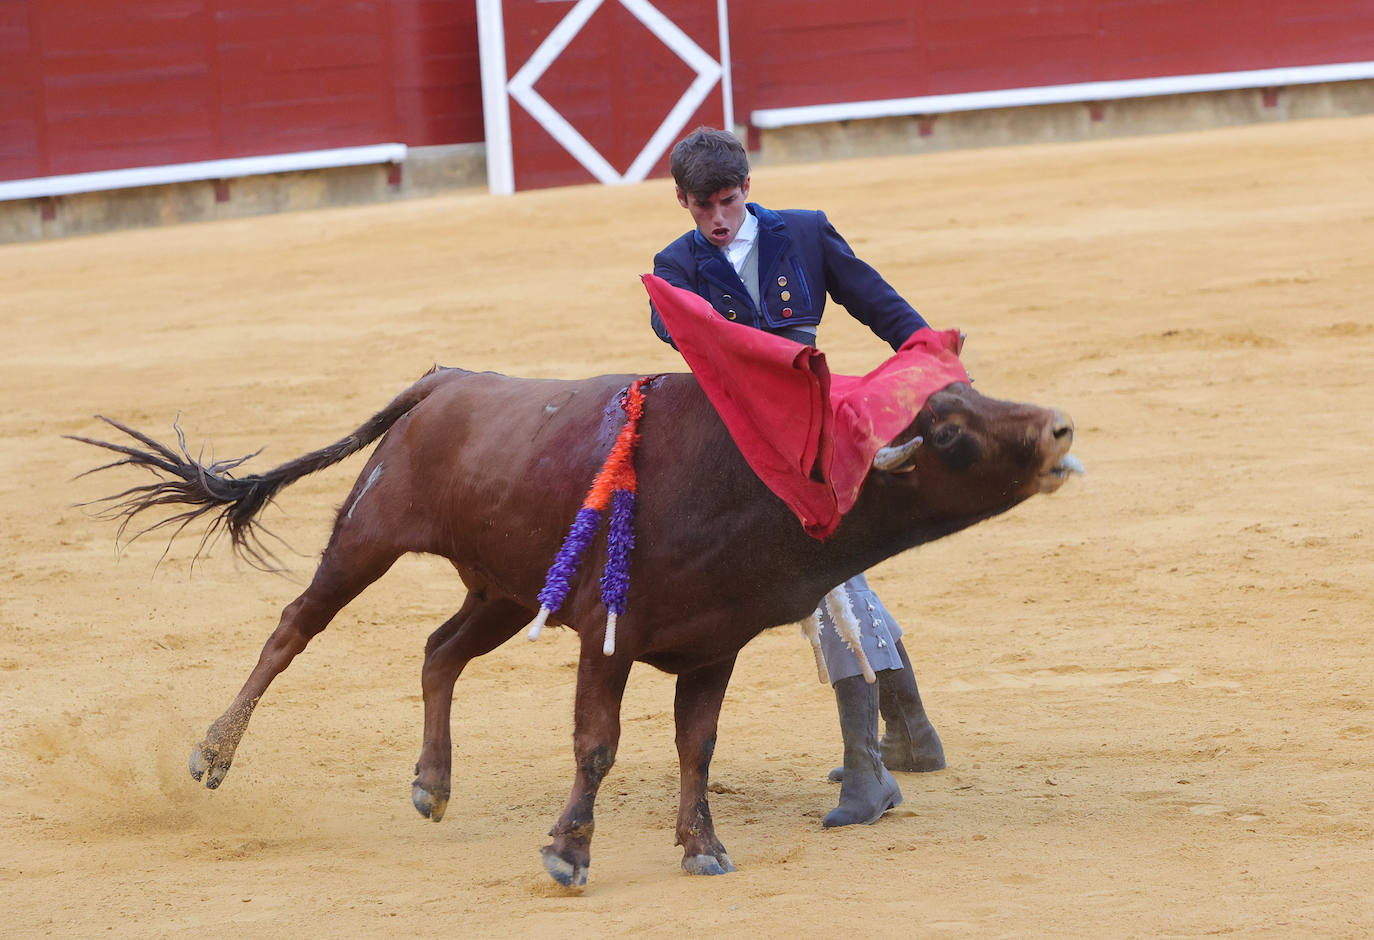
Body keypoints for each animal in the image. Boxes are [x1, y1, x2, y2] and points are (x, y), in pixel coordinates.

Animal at [72, 362, 1082, 885]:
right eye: (948, 431)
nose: (1062, 428)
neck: (748, 482)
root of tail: (445, 380)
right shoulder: (611, 636)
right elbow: (598, 743)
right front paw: (568, 850)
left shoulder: (714, 648)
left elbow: (695, 746)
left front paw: (704, 847)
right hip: (366, 538)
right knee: (291, 630)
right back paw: (212, 752)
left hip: (505, 591)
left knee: (438, 652)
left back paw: (432, 784)